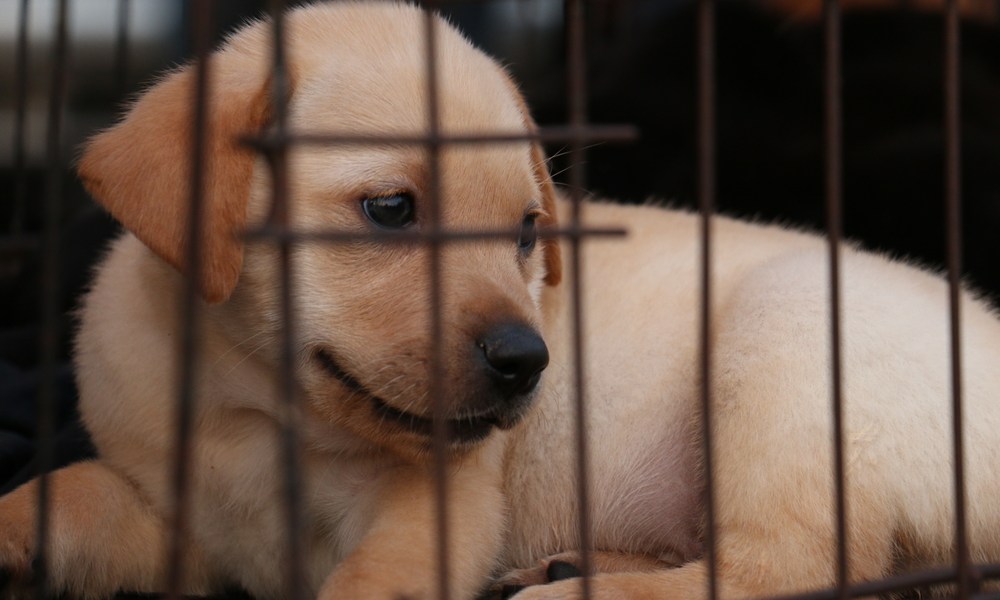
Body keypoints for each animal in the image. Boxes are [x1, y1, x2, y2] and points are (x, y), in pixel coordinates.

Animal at [1, 1, 1000, 600]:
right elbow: (70, 493)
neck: (258, 410)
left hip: (786, 348)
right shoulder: (173, 517)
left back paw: (584, 590)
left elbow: (370, 580)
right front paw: (13, 528)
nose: (529, 363)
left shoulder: (429, 512)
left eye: (526, 230)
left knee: (787, 568)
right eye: (391, 210)